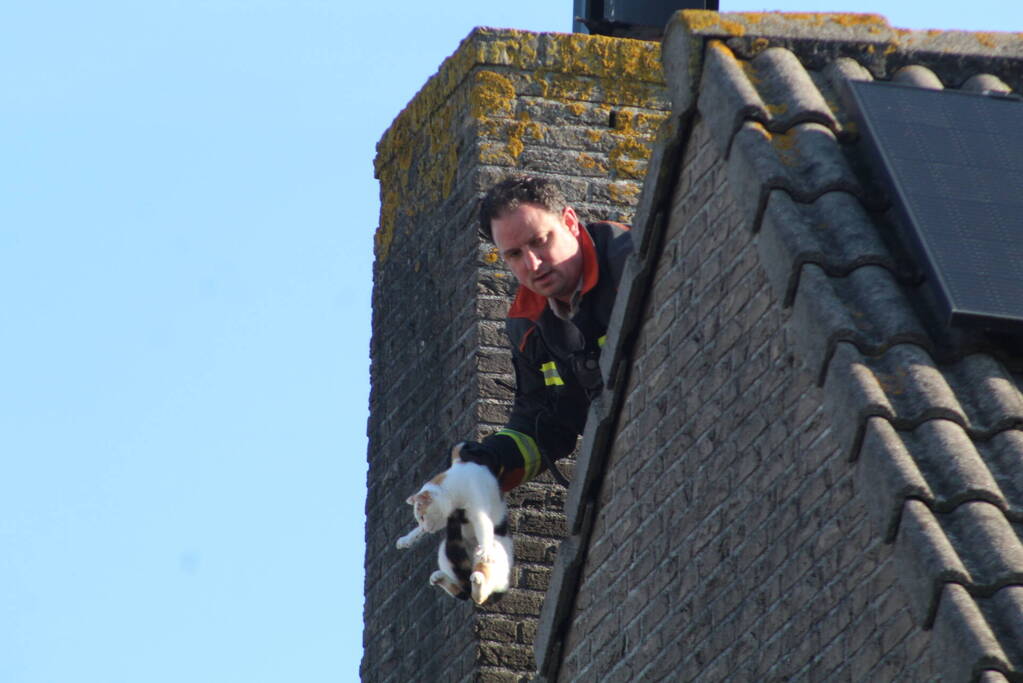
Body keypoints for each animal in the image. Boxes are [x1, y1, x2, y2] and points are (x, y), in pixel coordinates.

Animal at [396, 439, 515, 605]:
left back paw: (478, 580)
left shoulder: (479, 511)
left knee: (478, 596)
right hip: (444, 549)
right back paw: (440, 578)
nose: (426, 529)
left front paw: (485, 549)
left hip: (493, 553)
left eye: (422, 517)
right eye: (419, 521)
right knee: (464, 591)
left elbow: (484, 527)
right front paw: (407, 538)